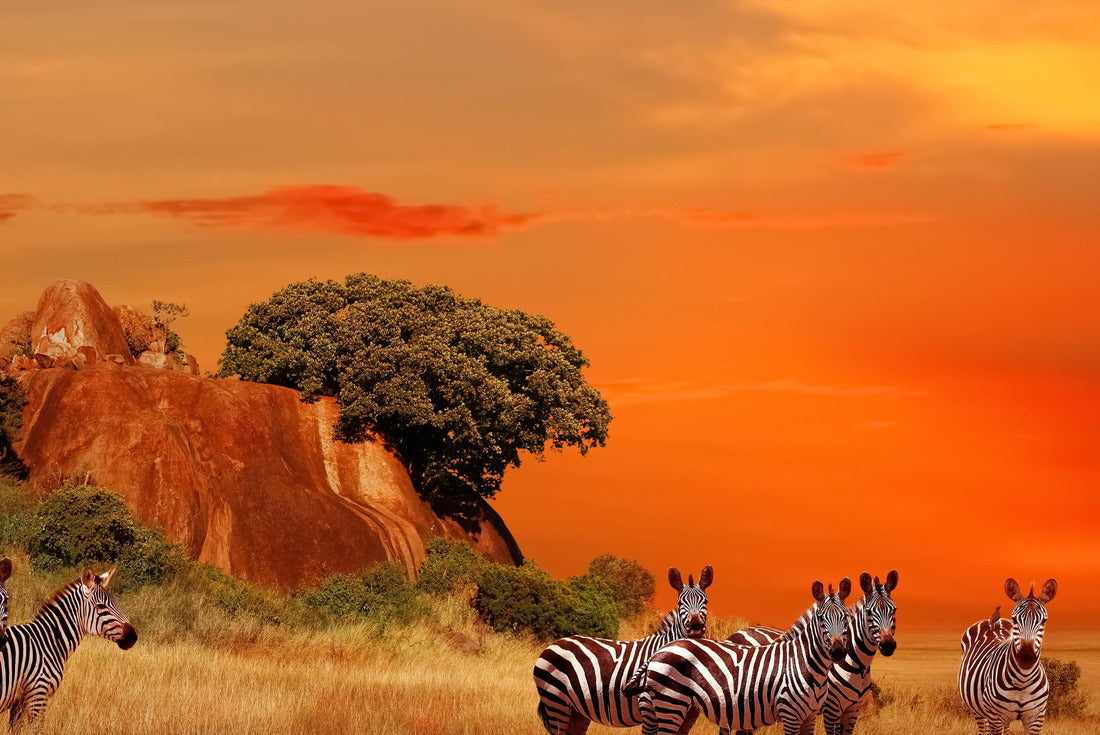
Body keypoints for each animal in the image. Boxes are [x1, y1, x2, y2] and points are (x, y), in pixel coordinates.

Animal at [0, 567, 137, 730]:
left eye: (116, 603)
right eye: (101, 606)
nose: (133, 637)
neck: (48, 641)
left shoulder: (20, 700)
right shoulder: (38, 694)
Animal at [533, 565, 713, 735]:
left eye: (705, 601)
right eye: (680, 603)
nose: (696, 627)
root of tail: (555, 643)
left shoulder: (689, 714)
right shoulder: (648, 706)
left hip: (577, 710)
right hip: (556, 701)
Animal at [630, 578, 852, 735]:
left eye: (846, 617)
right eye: (821, 619)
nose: (838, 651)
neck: (805, 663)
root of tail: (660, 649)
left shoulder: (810, 717)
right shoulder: (790, 714)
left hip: (685, 708)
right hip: (670, 703)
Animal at [724, 570, 898, 735]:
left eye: (894, 610)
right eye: (869, 613)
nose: (888, 645)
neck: (858, 665)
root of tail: (737, 633)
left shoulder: (852, 710)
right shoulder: (832, 709)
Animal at [959, 577, 1057, 735]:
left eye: (1044, 620)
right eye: (1015, 619)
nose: (1026, 657)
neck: (1023, 680)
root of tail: (993, 621)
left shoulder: (1036, 717)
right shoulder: (995, 717)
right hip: (979, 711)